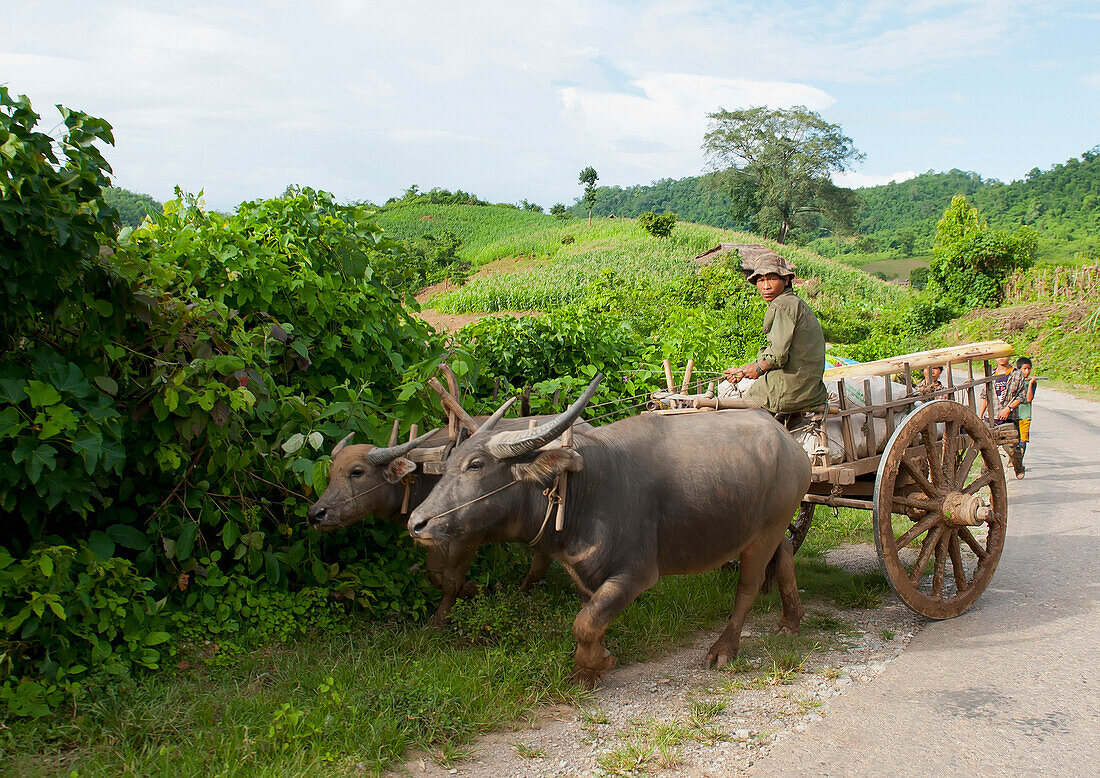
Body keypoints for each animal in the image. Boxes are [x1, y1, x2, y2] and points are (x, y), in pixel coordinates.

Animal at [305, 420, 589, 625]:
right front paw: (472, 590)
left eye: (357, 472)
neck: (423, 475)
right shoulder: (432, 537)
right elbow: (434, 574)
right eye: (330, 474)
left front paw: (445, 615)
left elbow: (451, 579)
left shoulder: (467, 538)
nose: (316, 514)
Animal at [404, 376, 809, 686]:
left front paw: (596, 664)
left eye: (475, 465)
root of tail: (790, 443)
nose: (417, 524)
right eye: (448, 463)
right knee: (786, 556)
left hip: (763, 534)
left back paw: (723, 649)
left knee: (748, 587)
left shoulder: (636, 574)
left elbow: (584, 623)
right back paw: (791, 621)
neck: (582, 489)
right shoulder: (585, 570)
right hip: (774, 527)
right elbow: (591, 616)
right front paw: (591, 666)